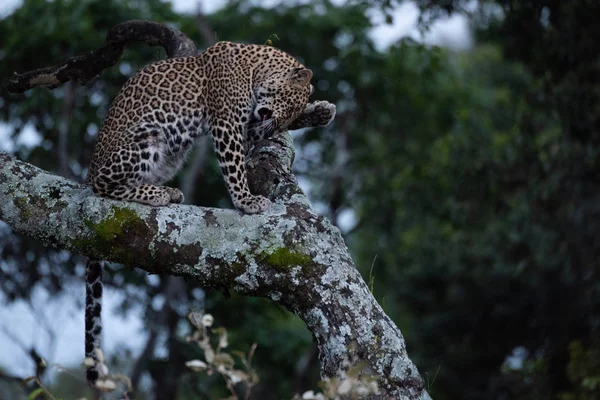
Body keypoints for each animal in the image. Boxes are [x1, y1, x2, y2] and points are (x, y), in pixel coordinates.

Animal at [82, 41, 338, 390]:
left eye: (290, 115)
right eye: (286, 106)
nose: (273, 125)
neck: (255, 69)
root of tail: (88, 170)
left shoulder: (245, 124)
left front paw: (321, 110)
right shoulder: (228, 124)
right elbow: (235, 167)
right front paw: (246, 200)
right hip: (146, 138)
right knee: (103, 185)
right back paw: (158, 194)